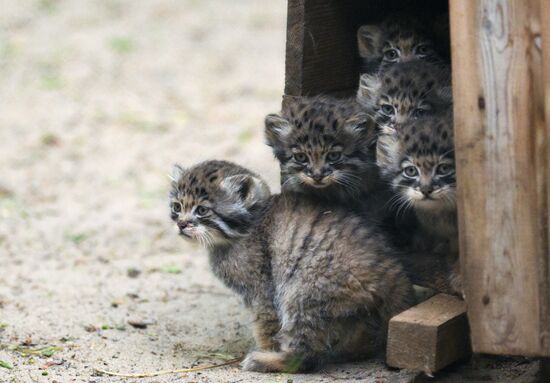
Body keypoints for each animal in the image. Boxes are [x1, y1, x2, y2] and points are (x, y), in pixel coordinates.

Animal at [170, 160, 416, 374]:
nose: (181, 224)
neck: (246, 227)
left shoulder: (262, 292)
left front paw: (267, 348)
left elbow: (265, 326)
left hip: (302, 292)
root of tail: (394, 275)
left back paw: (267, 360)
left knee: (306, 357)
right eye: (177, 206)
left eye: (202, 210)